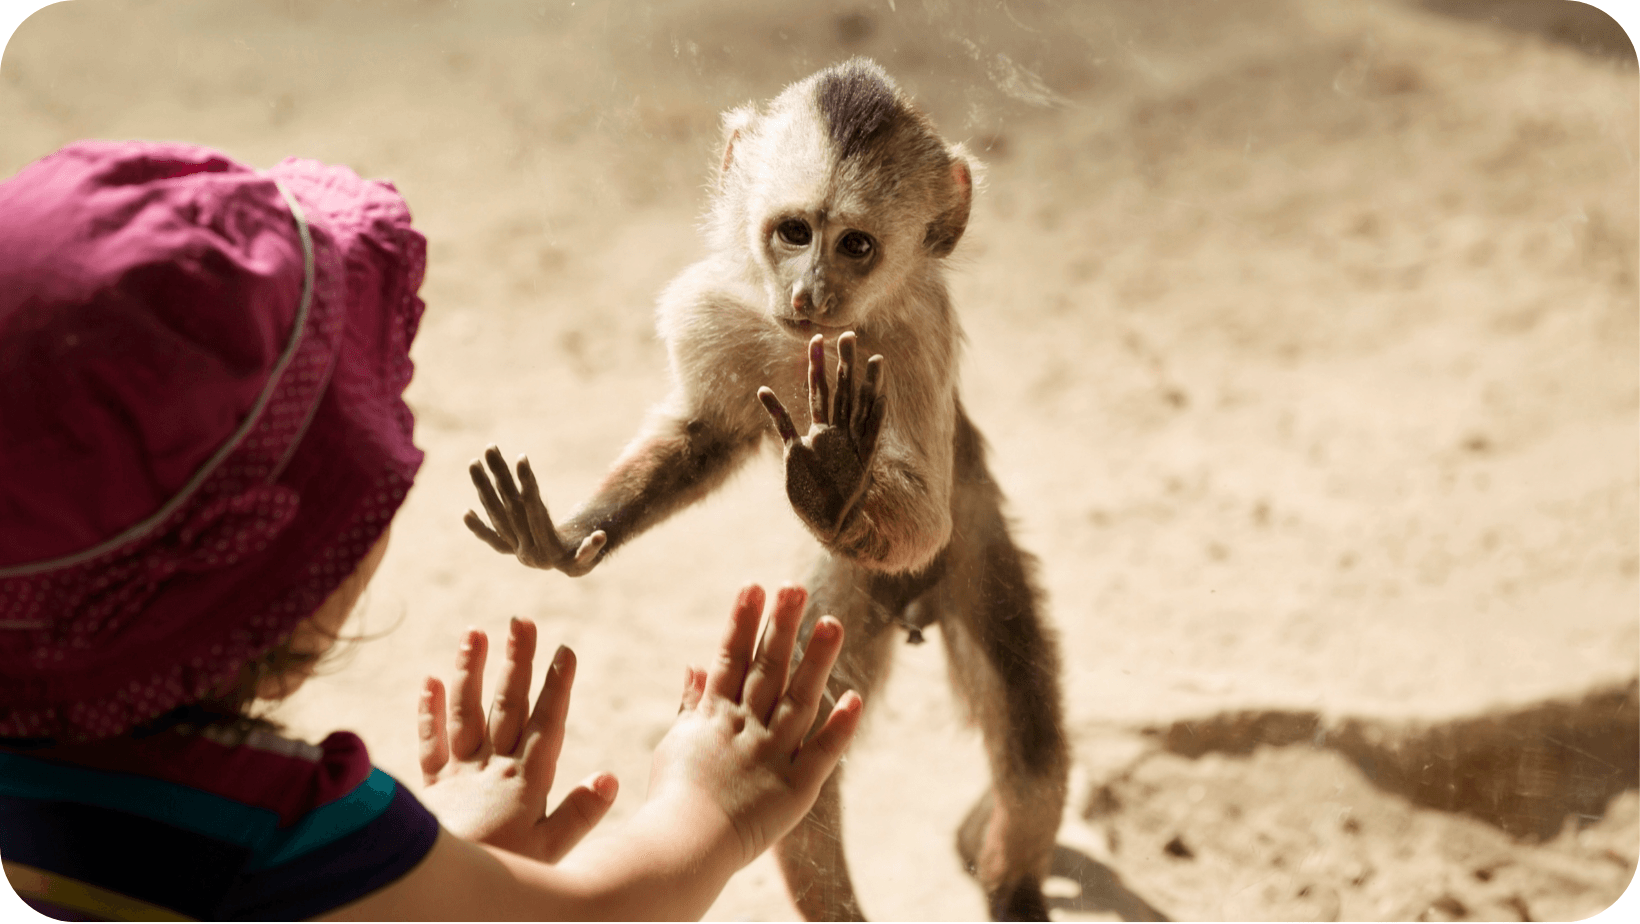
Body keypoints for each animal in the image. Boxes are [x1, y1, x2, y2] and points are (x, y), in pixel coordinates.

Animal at [469, 59, 1069, 924]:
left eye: (855, 246)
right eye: (795, 232)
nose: (811, 293)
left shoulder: (919, 334)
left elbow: (925, 513)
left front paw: (837, 476)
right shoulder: (712, 306)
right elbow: (704, 435)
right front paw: (566, 536)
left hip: (972, 548)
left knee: (1029, 742)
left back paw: (1011, 887)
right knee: (807, 733)